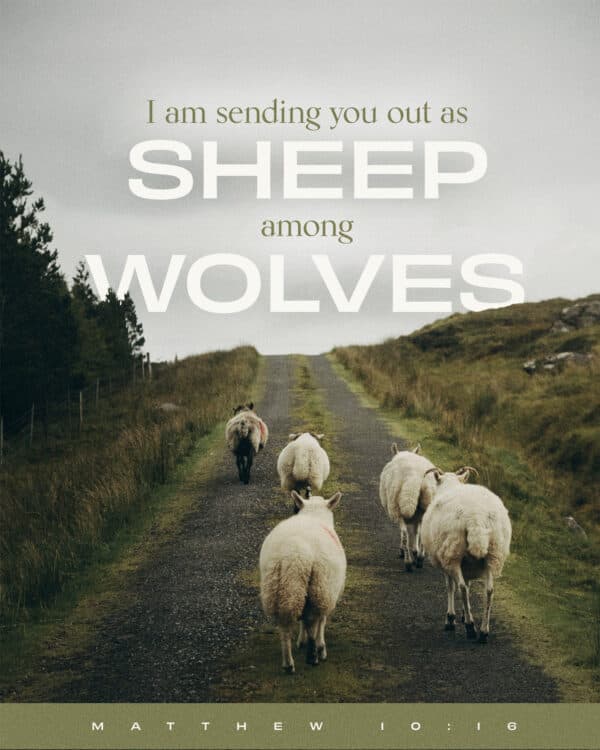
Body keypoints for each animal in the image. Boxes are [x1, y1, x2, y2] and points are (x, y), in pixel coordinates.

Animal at [259, 491, 346, 673]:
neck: (314, 516)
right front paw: (319, 646)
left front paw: (301, 640)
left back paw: (288, 663)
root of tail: (293, 551)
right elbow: (321, 621)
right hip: (319, 586)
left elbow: (302, 621)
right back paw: (314, 655)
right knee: (312, 620)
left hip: (282, 587)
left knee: (285, 624)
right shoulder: (326, 592)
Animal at [378, 443, 436, 571]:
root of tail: (412, 479)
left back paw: (408, 562)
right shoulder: (417, 516)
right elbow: (416, 532)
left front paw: (409, 551)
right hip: (426, 506)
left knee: (404, 535)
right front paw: (416, 551)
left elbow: (409, 534)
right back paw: (419, 559)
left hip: (397, 508)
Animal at [420, 467, 512, 643]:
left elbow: (451, 587)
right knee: (489, 591)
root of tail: (476, 519)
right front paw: (464, 613)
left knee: (461, 587)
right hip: (493, 554)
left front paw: (451, 619)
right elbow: (469, 586)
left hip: (453, 553)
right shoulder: (467, 564)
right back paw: (483, 631)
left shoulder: (446, 560)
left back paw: (470, 628)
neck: (450, 485)